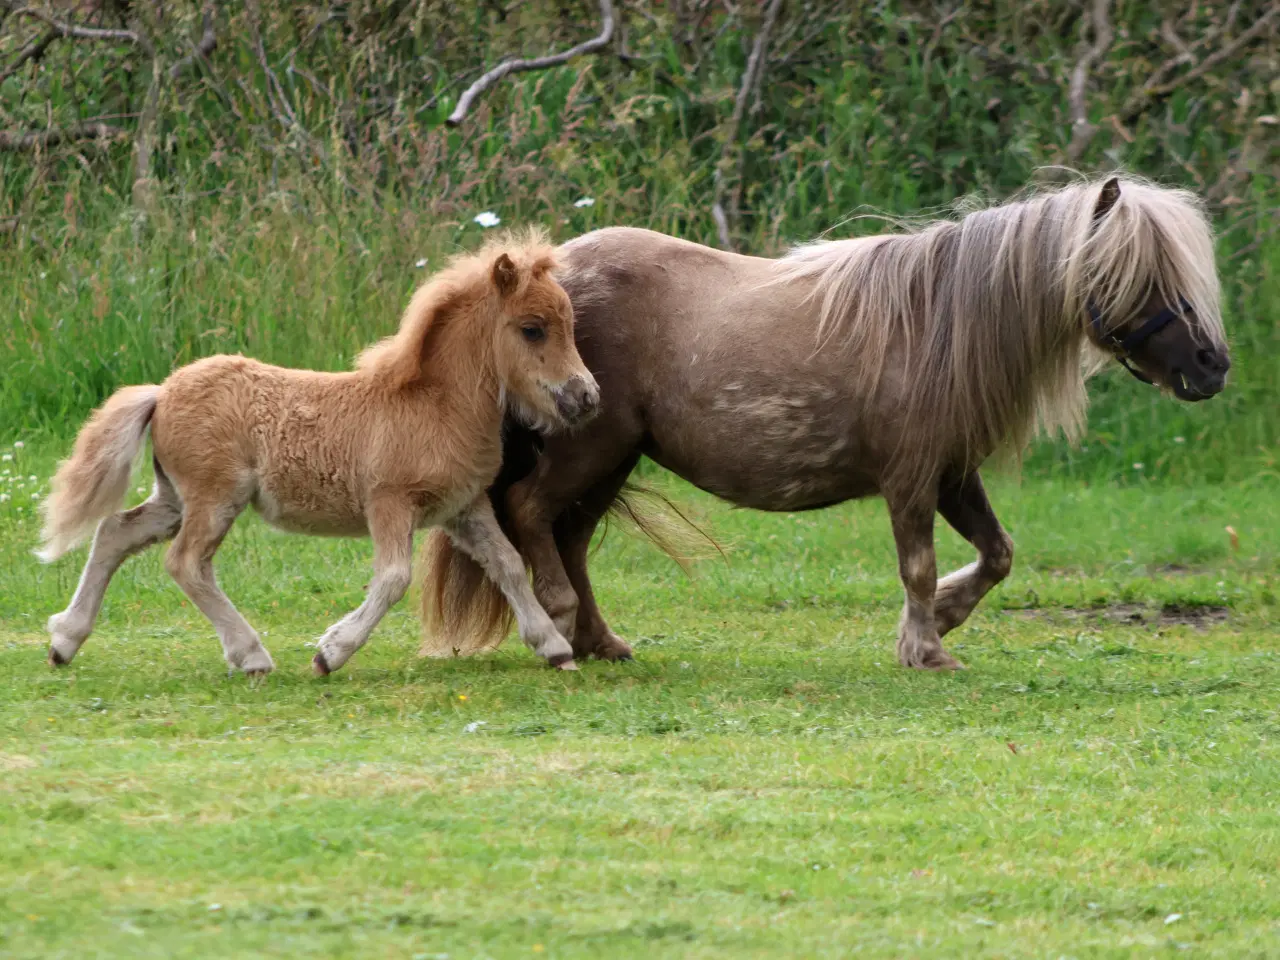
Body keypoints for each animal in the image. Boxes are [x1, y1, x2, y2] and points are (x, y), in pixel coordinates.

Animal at [40, 232, 596, 675]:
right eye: (532, 328)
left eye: (569, 324)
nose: (586, 397)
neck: (436, 404)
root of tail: (161, 392)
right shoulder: (389, 502)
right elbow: (393, 579)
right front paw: (331, 652)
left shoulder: (463, 507)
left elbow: (508, 564)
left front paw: (553, 646)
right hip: (216, 496)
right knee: (186, 563)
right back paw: (251, 655)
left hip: (176, 496)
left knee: (117, 532)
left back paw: (65, 640)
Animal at [419, 180, 1228, 670]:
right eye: (1138, 271)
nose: (1211, 365)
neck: (939, 325)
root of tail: (545, 277)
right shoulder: (911, 481)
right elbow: (918, 565)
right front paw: (927, 646)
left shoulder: (951, 475)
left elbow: (998, 555)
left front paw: (943, 620)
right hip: (589, 450)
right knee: (533, 517)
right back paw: (558, 630)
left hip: (610, 458)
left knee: (571, 538)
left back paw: (599, 640)